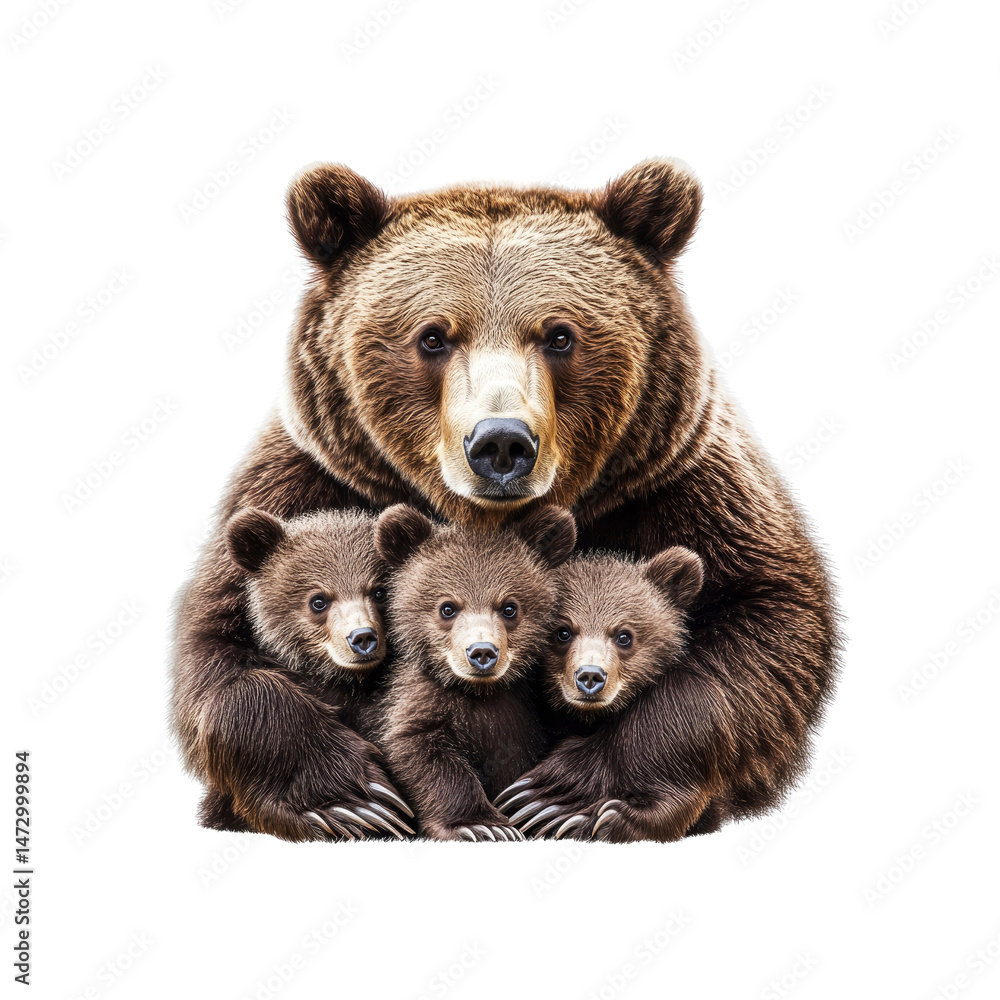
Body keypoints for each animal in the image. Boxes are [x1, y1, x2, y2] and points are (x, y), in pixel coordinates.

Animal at [372, 503, 577, 841]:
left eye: (509, 607)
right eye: (447, 607)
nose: (482, 652)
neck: (482, 692)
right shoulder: (423, 700)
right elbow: (421, 749)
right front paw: (482, 825)